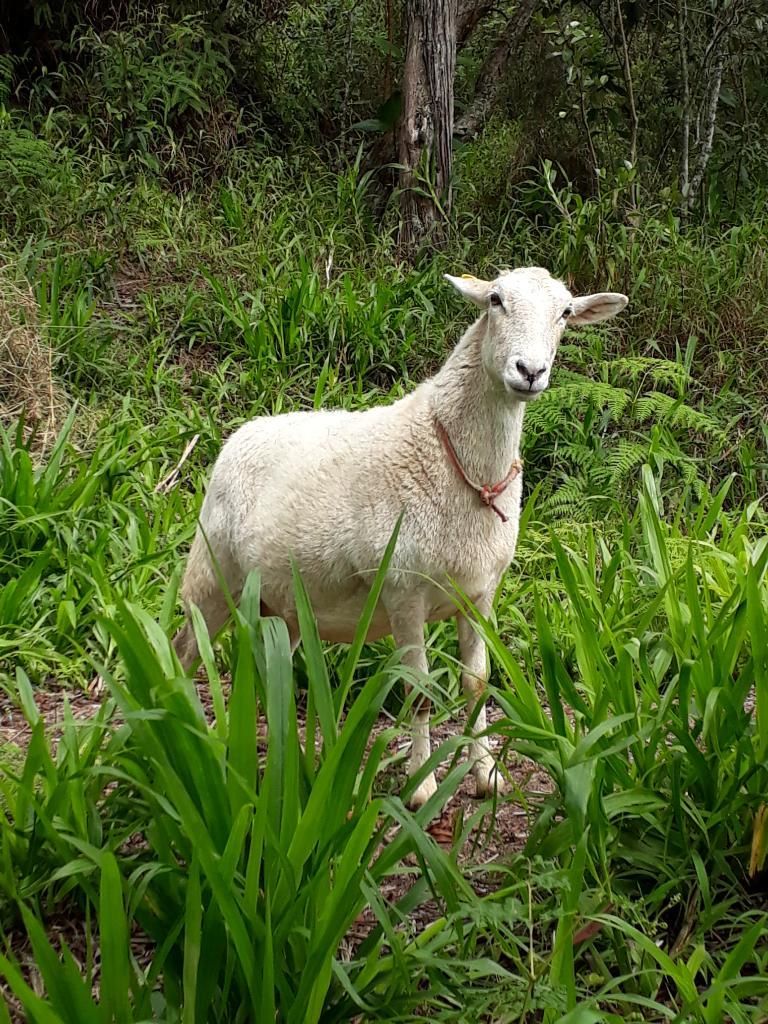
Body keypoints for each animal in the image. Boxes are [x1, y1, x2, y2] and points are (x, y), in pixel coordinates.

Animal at [176, 270, 630, 806]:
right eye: (496, 300)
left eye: (565, 313)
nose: (530, 370)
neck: (457, 463)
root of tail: (244, 430)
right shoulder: (403, 592)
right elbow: (418, 691)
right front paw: (422, 786)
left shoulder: (480, 593)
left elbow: (477, 684)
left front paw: (486, 775)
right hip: (212, 571)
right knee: (186, 650)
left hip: (280, 602)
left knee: (272, 668)